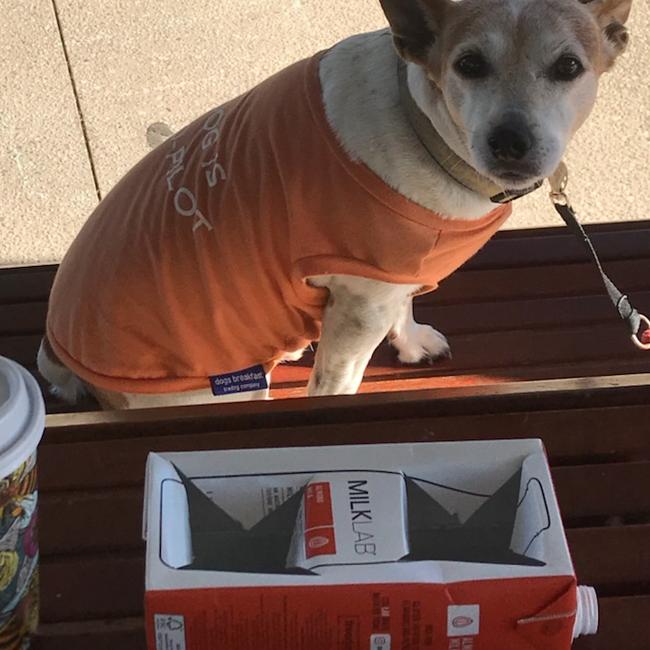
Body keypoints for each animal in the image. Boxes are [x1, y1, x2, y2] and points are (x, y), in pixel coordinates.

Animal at [38, 0, 632, 408]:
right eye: (469, 64)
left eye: (568, 67)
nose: (510, 141)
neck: (423, 126)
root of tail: (65, 359)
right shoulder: (360, 304)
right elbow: (336, 383)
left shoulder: (393, 270)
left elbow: (406, 303)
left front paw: (412, 343)